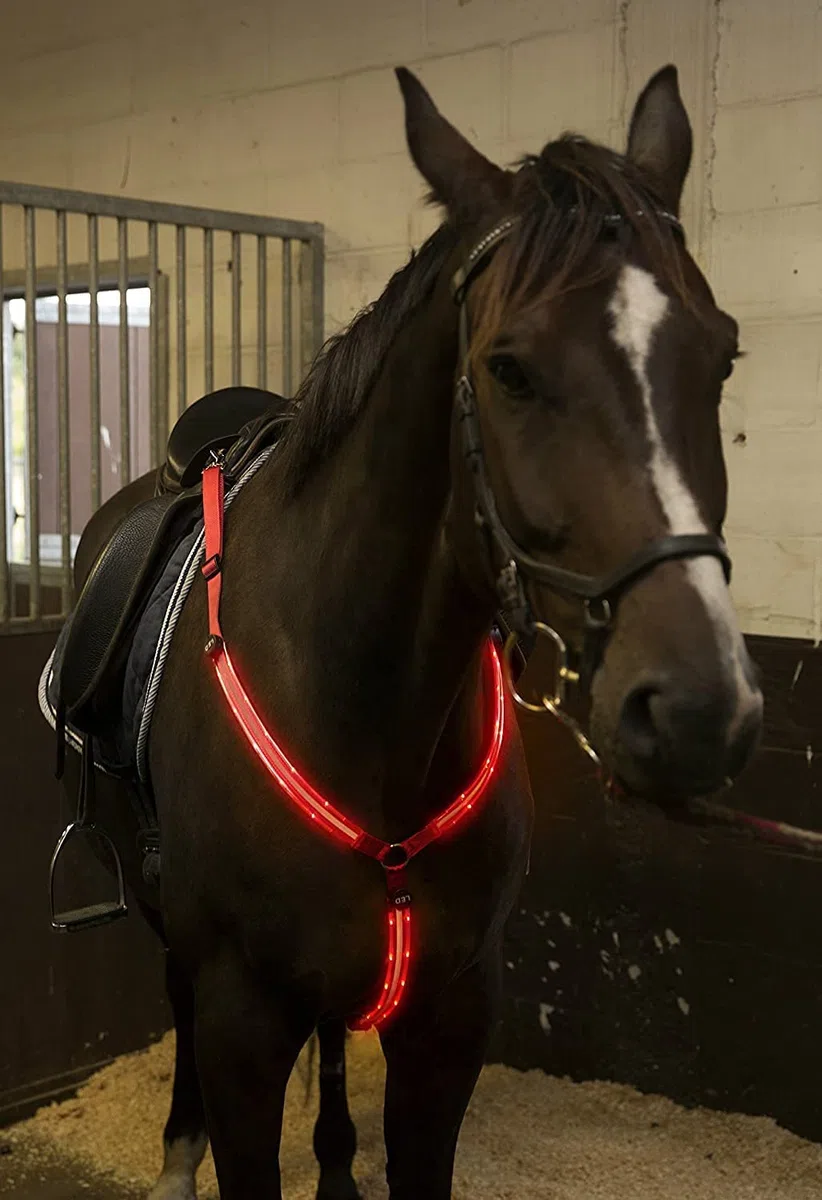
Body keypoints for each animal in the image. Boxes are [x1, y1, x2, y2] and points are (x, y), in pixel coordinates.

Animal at [55, 63, 763, 1200]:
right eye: (508, 369)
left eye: (724, 356)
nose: (700, 711)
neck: (361, 703)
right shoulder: (242, 1022)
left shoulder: (452, 1013)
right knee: (175, 993)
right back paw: (175, 1158)